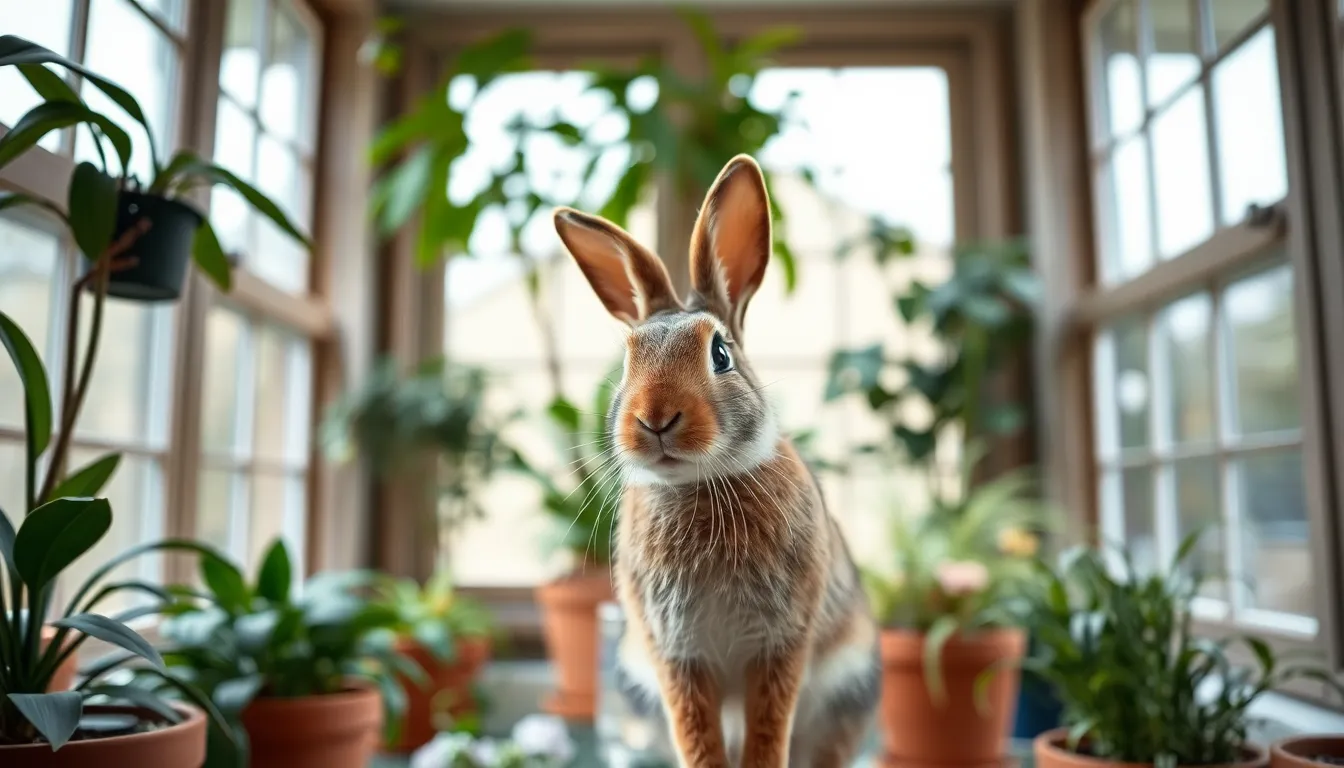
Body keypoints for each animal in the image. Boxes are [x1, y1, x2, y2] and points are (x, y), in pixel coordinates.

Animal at [553, 154, 879, 768]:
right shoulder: (676, 655)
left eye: (720, 353)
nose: (655, 418)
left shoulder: (780, 644)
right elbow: (697, 736)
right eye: (627, 361)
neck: (698, 484)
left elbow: (767, 733)